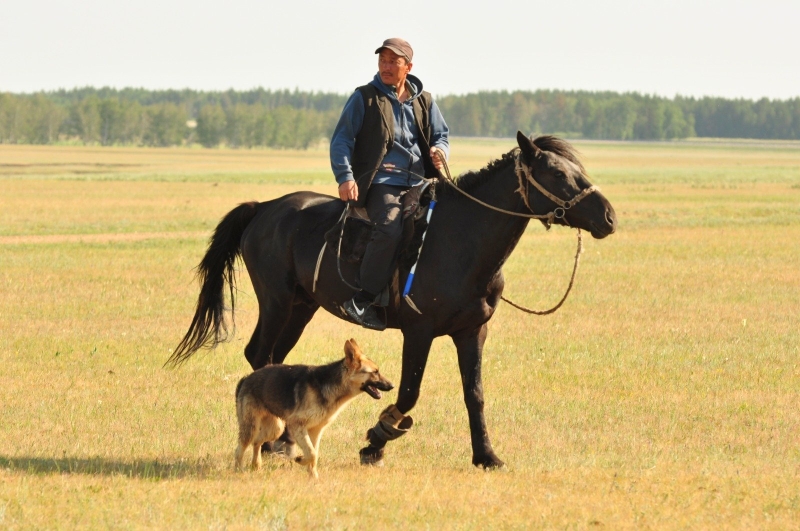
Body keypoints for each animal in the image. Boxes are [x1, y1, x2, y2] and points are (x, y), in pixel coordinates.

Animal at [233, 338, 392, 480]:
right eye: (375, 372)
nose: (392, 386)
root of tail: (246, 379)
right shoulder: (297, 426)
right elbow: (311, 453)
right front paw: (300, 460)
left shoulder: (315, 430)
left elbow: (314, 454)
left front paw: (313, 477)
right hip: (252, 427)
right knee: (240, 449)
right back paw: (239, 471)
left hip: (275, 428)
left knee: (256, 442)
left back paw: (256, 466)